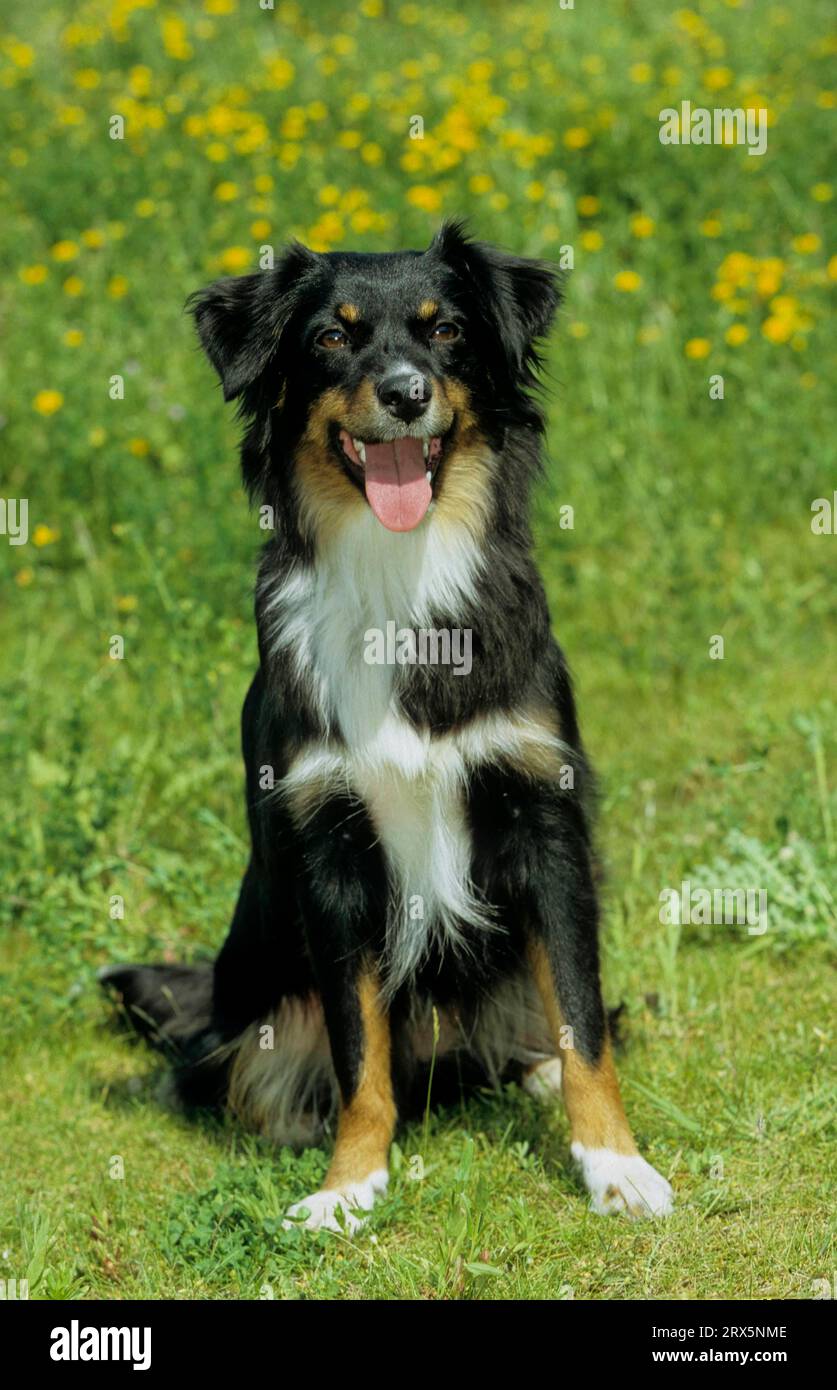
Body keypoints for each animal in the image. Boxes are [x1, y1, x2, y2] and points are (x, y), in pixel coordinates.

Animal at [100, 222, 670, 1234]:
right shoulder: (331, 849)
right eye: (332, 336)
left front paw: (614, 1163)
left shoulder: (544, 816)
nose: (406, 394)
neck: (400, 573)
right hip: (256, 1002)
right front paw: (348, 1182)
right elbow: (357, 1047)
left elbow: (580, 1011)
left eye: (446, 331)